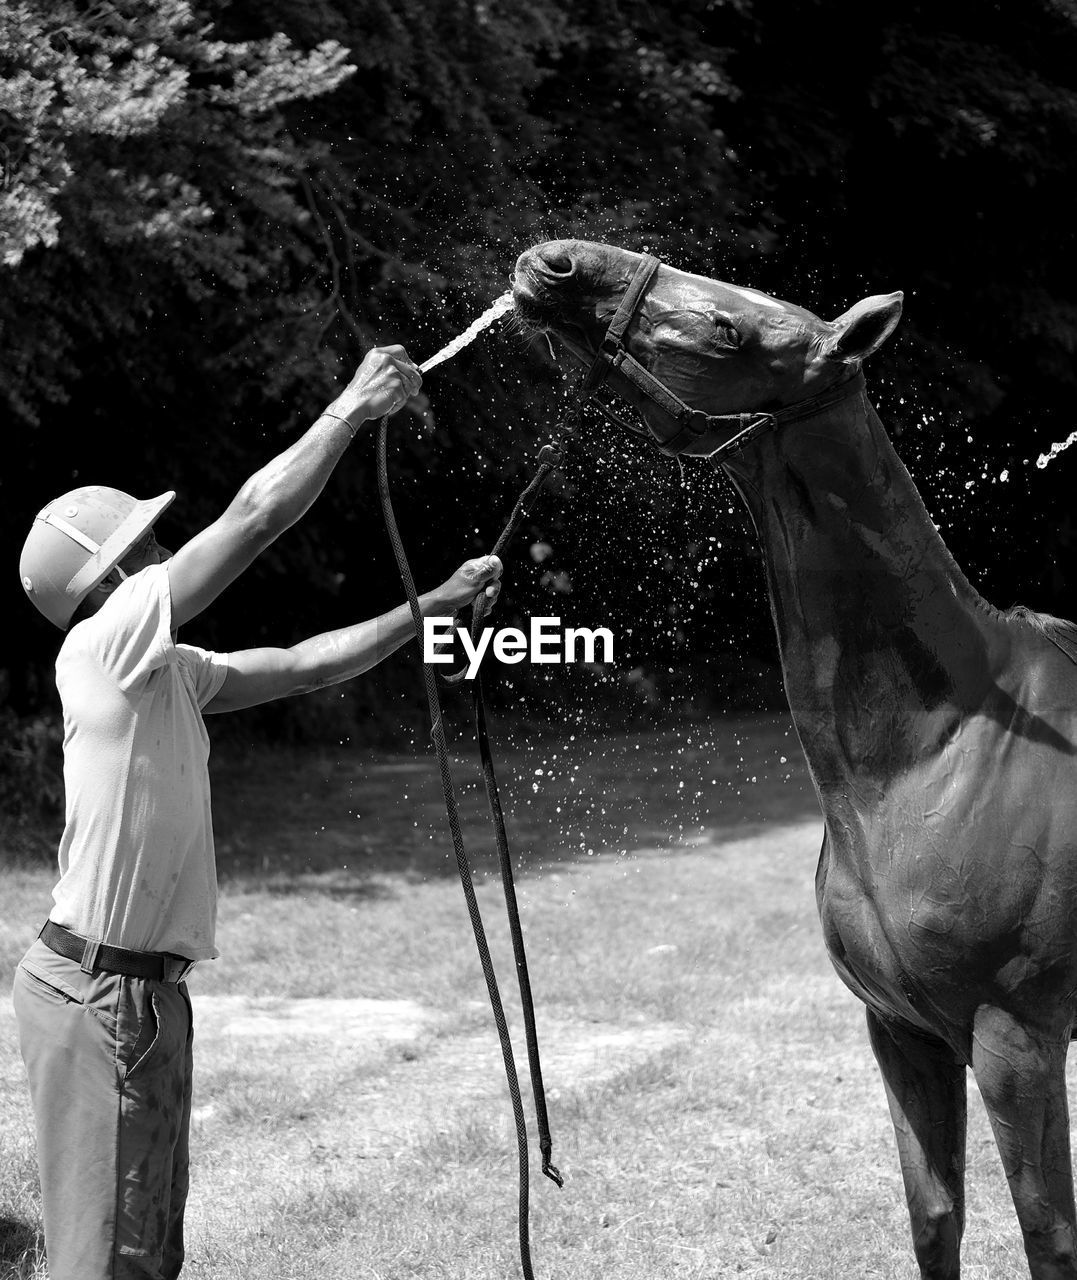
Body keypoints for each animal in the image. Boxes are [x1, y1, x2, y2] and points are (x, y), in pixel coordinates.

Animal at [509, 240, 1075, 1280]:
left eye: (728, 328)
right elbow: (934, 1217)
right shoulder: (901, 1033)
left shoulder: (1018, 1041)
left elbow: (1046, 1235)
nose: (552, 261)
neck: (935, 752)